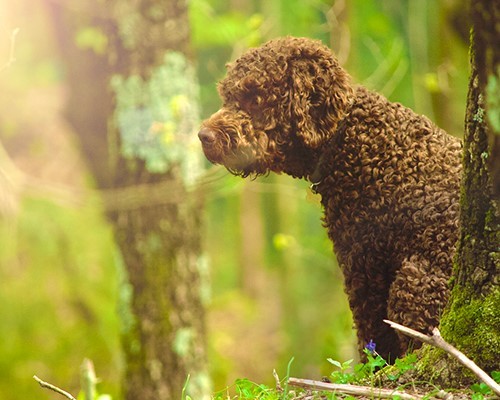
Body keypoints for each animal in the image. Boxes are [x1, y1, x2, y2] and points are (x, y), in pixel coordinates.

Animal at [198, 36, 460, 362]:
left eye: (254, 97)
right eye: (227, 95)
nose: (203, 136)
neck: (350, 138)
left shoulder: (364, 268)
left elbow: (373, 339)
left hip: (414, 284)